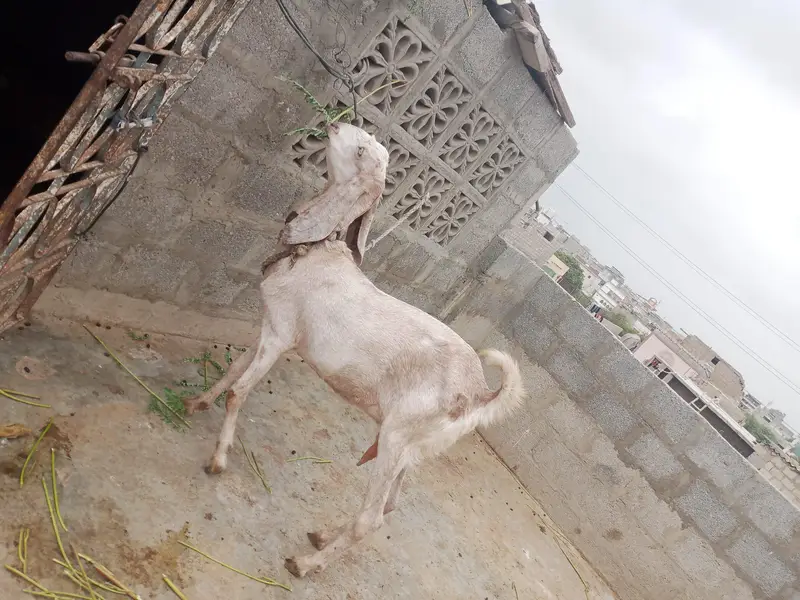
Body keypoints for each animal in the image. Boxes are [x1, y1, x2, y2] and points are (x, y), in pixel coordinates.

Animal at [183, 124, 525, 578]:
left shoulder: (280, 336)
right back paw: (322, 536)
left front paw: (219, 459)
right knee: (390, 505)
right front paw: (197, 402)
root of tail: (479, 394)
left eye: (361, 151)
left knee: (371, 519)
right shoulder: (271, 324)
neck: (314, 251)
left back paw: (305, 563)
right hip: (412, 449)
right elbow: (233, 369)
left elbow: (240, 391)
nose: (334, 124)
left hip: (397, 436)